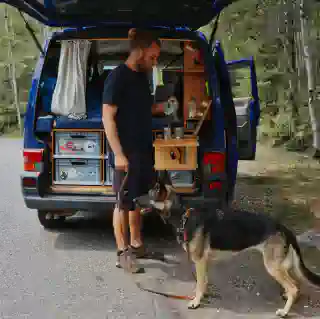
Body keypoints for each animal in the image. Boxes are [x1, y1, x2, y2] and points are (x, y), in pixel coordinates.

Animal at [134, 174, 320, 318]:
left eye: (148, 194)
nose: (133, 199)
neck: (183, 215)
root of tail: (283, 227)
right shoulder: (204, 262)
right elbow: (203, 282)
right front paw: (200, 296)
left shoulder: (199, 261)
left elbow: (200, 283)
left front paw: (195, 302)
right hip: (281, 266)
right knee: (296, 285)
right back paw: (287, 297)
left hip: (273, 267)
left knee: (294, 287)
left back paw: (285, 311)